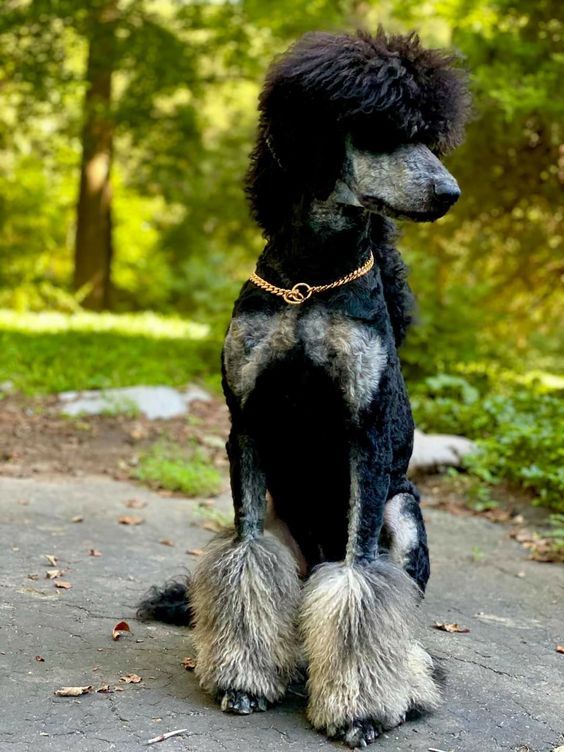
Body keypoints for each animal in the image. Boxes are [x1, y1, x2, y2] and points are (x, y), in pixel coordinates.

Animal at [139, 27, 470, 748]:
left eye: (430, 134)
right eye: (382, 128)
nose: (449, 192)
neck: (311, 279)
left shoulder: (364, 437)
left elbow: (361, 586)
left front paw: (360, 709)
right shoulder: (248, 425)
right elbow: (245, 561)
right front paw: (241, 679)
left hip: (402, 517)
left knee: (393, 610)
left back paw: (407, 684)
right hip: (288, 528)